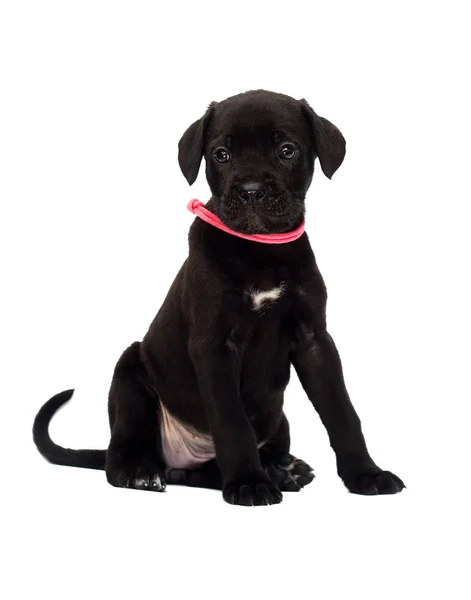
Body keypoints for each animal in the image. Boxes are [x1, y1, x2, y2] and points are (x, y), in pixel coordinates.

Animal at [34, 90, 406, 506]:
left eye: (287, 150)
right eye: (221, 154)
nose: (251, 191)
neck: (259, 250)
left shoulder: (315, 340)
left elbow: (342, 411)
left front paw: (366, 474)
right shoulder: (213, 346)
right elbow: (232, 420)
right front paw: (248, 482)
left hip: (277, 419)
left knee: (202, 472)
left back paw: (283, 470)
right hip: (129, 376)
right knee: (122, 454)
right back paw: (141, 472)